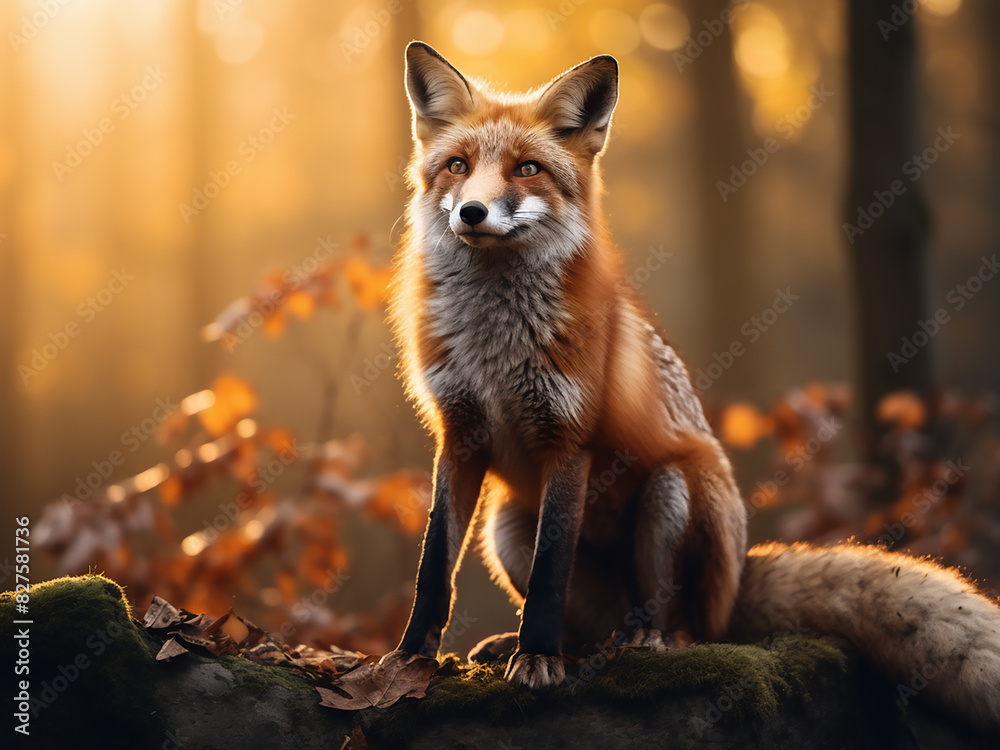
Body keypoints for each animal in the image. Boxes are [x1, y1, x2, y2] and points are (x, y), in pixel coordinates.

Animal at [382, 41, 1000, 734]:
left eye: (527, 170)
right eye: (458, 166)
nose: (472, 212)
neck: (496, 348)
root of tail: (738, 585)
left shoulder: (569, 439)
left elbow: (548, 578)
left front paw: (537, 661)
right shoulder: (459, 435)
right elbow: (435, 567)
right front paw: (409, 663)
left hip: (672, 492)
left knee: (678, 626)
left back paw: (638, 643)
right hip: (508, 524)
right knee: (591, 629)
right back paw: (536, 646)